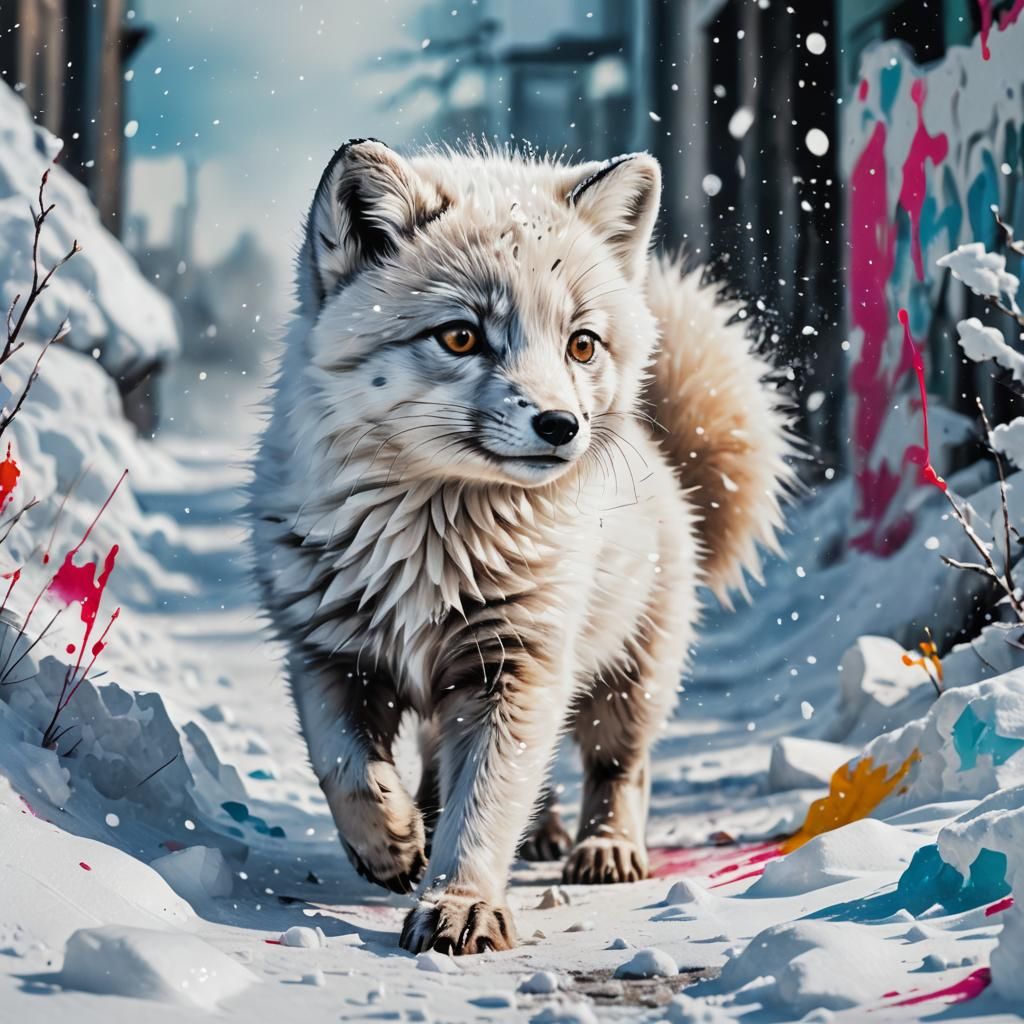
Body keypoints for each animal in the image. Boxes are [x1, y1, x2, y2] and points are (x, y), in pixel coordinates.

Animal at [251, 139, 790, 955]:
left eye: (581, 344)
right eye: (461, 335)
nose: (561, 426)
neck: (432, 549)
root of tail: (659, 450)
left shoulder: (517, 667)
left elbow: (485, 807)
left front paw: (460, 904)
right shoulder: (326, 655)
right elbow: (345, 769)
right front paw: (391, 844)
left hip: (626, 683)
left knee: (618, 769)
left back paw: (603, 848)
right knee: (457, 767)